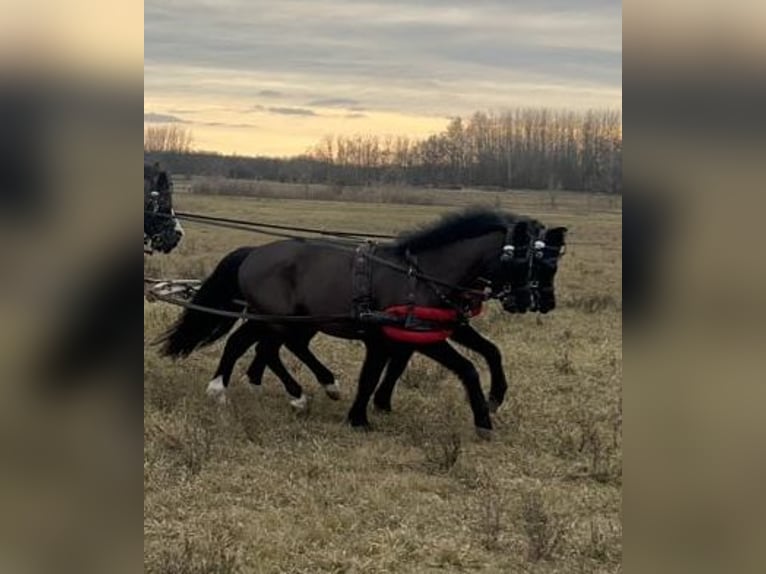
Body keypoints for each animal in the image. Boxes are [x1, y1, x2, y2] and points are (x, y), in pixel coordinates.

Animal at [159, 209, 563, 436]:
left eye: (552, 264)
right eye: (525, 261)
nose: (542, 303)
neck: (423, 274)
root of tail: (254, 252)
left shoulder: (427, 330)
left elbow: (489, 352)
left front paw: (495, 397)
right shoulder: (414, 335)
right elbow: (464, 369)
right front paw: (483, 420)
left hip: (284, 319)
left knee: (255, 344)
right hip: (279, 318)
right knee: (267, 347)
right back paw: (286, 391)